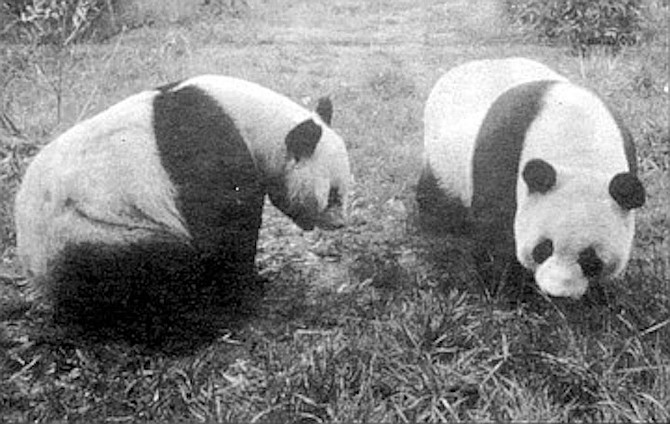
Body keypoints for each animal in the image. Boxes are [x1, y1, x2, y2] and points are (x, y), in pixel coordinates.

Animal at [14, 75, 352, 331]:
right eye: (333, 195)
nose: (340, 223)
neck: (253, 122)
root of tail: (38, 278)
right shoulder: (209, 150)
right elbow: (223, 230)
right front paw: (246, 294)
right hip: (90, 230)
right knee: (150, 270)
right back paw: (195, 322)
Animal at [417, 58, 645, 299]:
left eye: (591, 260)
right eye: (543, 248)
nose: (558, 294)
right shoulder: (503, 151)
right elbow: (495, 228)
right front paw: (506, 288)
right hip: (443, 160)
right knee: (437, 196)